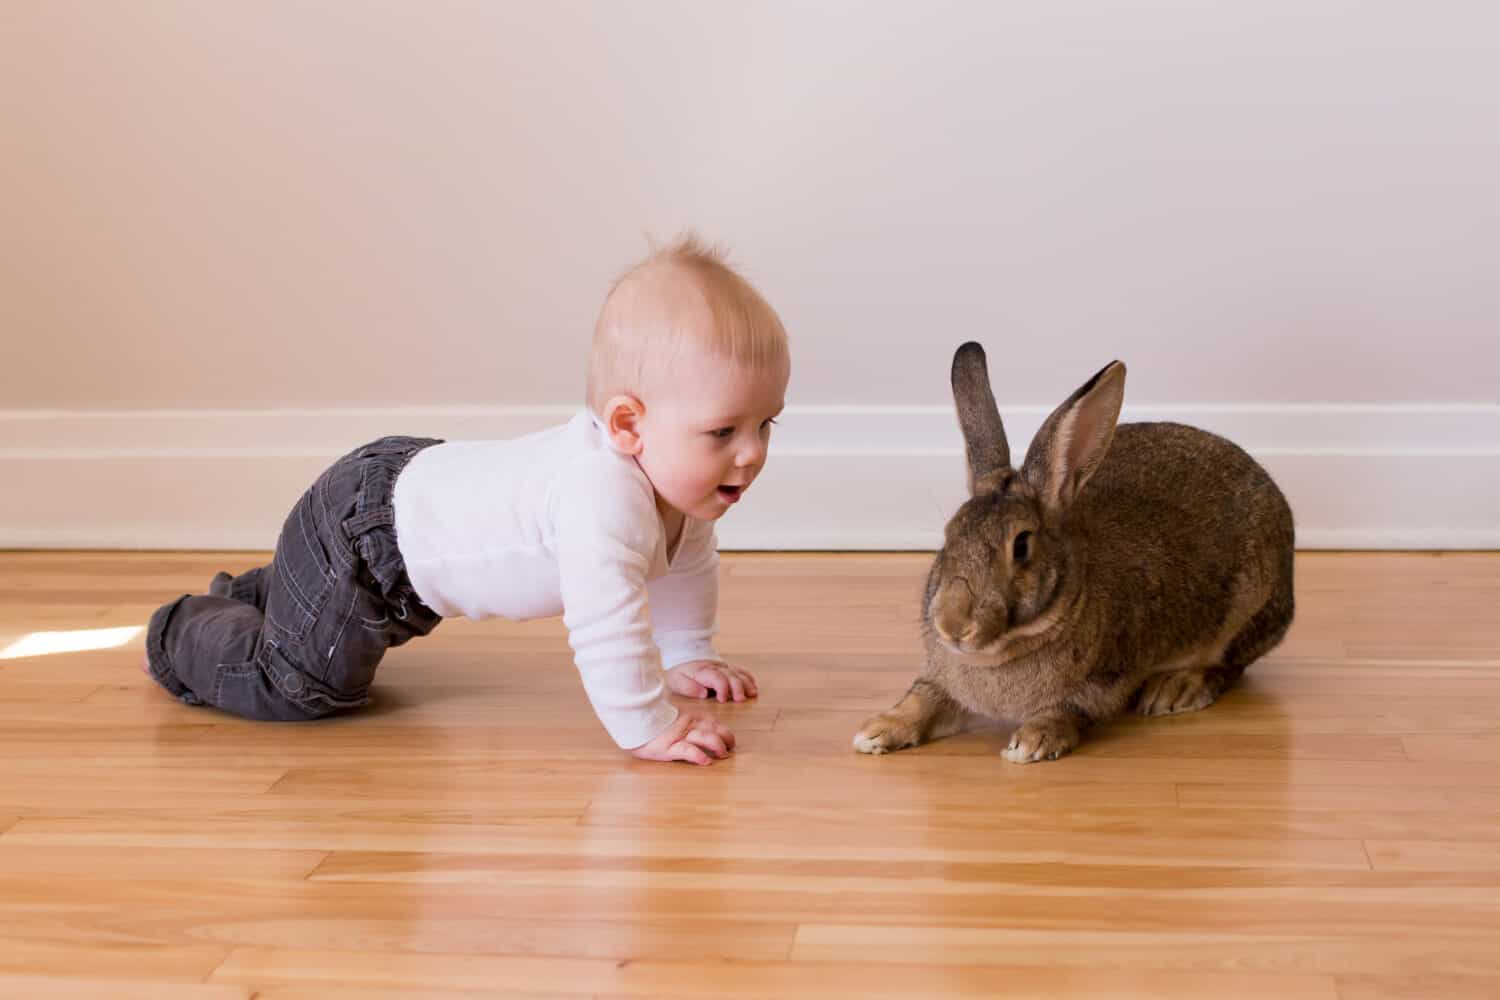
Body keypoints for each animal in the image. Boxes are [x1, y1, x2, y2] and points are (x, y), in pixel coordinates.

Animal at [853, 342, 1294, 763]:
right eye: (948, 536)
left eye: (1021, 546)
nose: (952, 624)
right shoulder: (942, 681)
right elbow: (924, 698)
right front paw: (878, 730)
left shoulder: (1103, 682)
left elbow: (1068, 711)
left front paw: (1031, 742)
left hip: (1249, 611)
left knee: (1229, 665)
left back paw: (1176, 689)